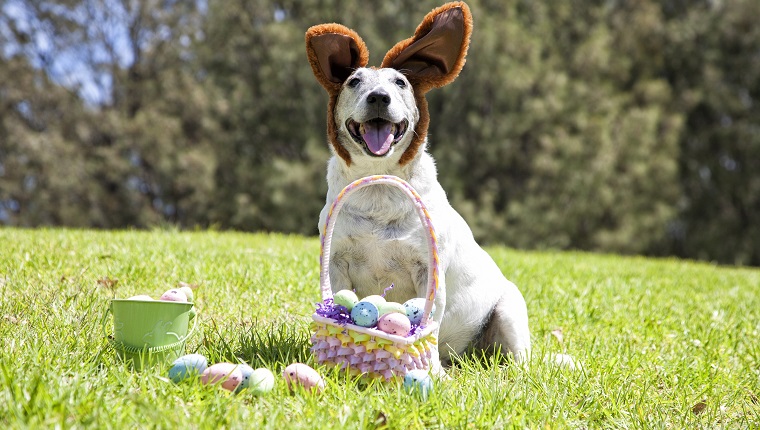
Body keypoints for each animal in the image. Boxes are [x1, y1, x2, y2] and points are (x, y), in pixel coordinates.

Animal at [306, 0, 532, 372]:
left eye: (400, 81)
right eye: (354, 81)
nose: (379, 97)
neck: (379, 184)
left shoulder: (428, 273)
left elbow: (431, 321)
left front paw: (431, 372)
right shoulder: (336, 263)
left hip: (509, 310)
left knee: (518, 359)